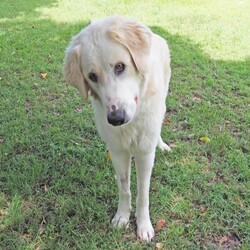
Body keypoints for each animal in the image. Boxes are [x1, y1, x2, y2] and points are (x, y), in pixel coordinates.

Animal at [63, 16, 171, 242]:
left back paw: (162, 144)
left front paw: (143, 225)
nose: (116, 118)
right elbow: (124, 188)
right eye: (92, 76)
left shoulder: (144, 153)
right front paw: (122, 217)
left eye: (120, 66)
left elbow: (143, 193)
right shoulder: (118, 151)